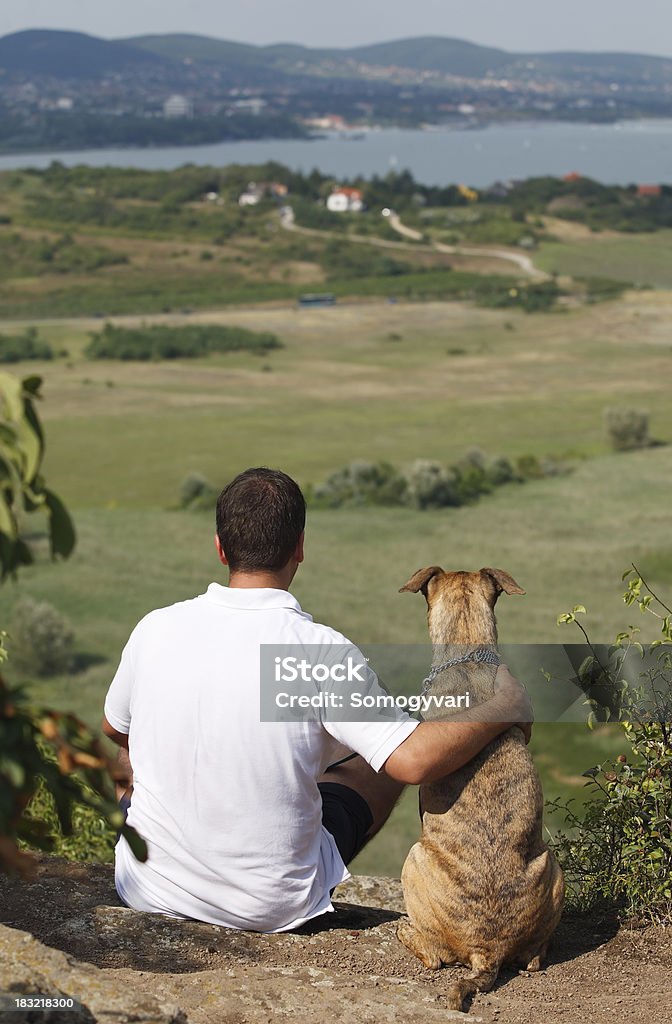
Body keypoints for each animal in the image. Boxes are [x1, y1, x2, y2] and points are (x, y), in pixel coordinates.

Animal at [395, 569, 565, 1007]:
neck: (469, 652)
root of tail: (488, 950)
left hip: (414, 859)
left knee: (434, 957)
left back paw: (404, 930)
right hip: (553, 866)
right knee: (534, 959)